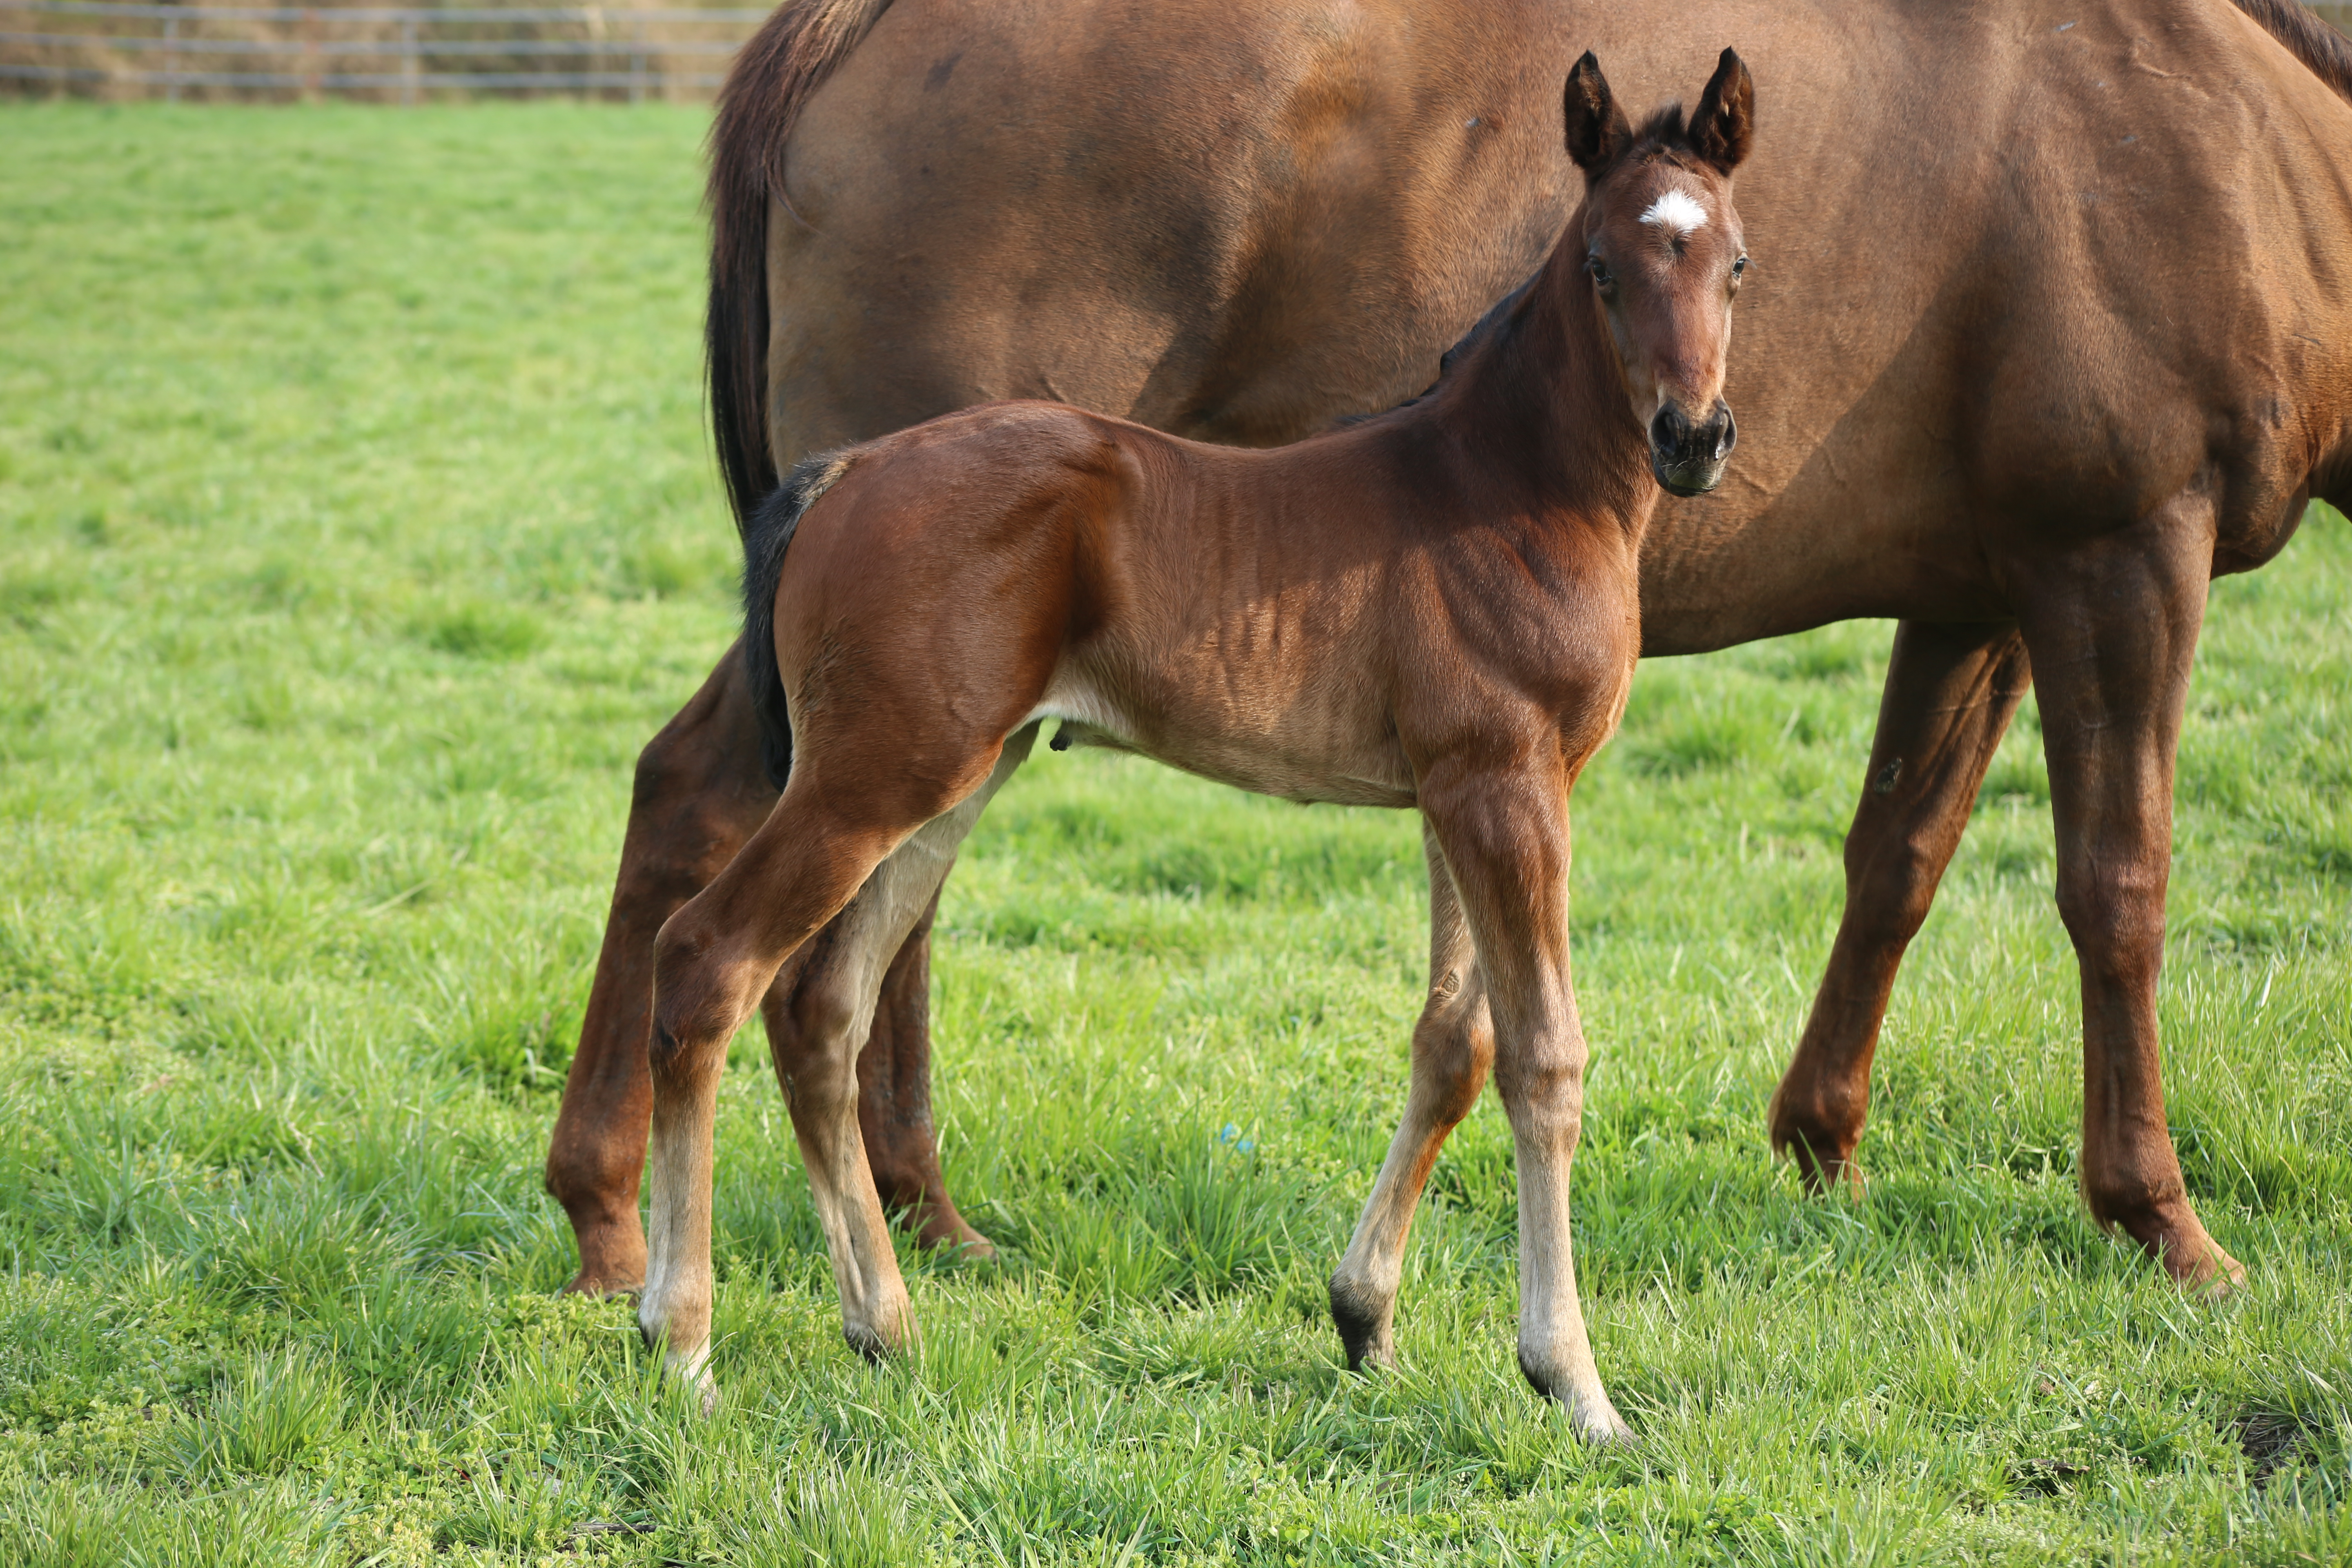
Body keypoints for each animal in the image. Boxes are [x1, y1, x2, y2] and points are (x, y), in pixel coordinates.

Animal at [541, 0, 2352, 1297]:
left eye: (1747, 262)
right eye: (1605, 264)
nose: (1701, 439)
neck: (2232, 134)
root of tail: (838, 26)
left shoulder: (1978, 584)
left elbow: (1897, 854)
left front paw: (1822, 1148)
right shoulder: (2123, 545)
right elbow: (2117, 883)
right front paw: (2164, 1222)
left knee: (799, 878)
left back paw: (869, 1216)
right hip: (903, 682)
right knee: (727, 837)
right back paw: (658, 1231)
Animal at [635, 49, 1759, 1439]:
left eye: (1735, 264)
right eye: (1605, 265)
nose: (1693, 439)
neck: (1506, 487)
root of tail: (846, 472)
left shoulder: (1463, 791)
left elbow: (1455, 1043)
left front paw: (1366, 1319)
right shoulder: (1510, 790)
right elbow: (1547, 1057)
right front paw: (1574, 1383)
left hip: (949, 777)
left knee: (820, 1007)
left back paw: (882, 1324)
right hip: (872, 777)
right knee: (710, 964)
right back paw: (682, 1342)